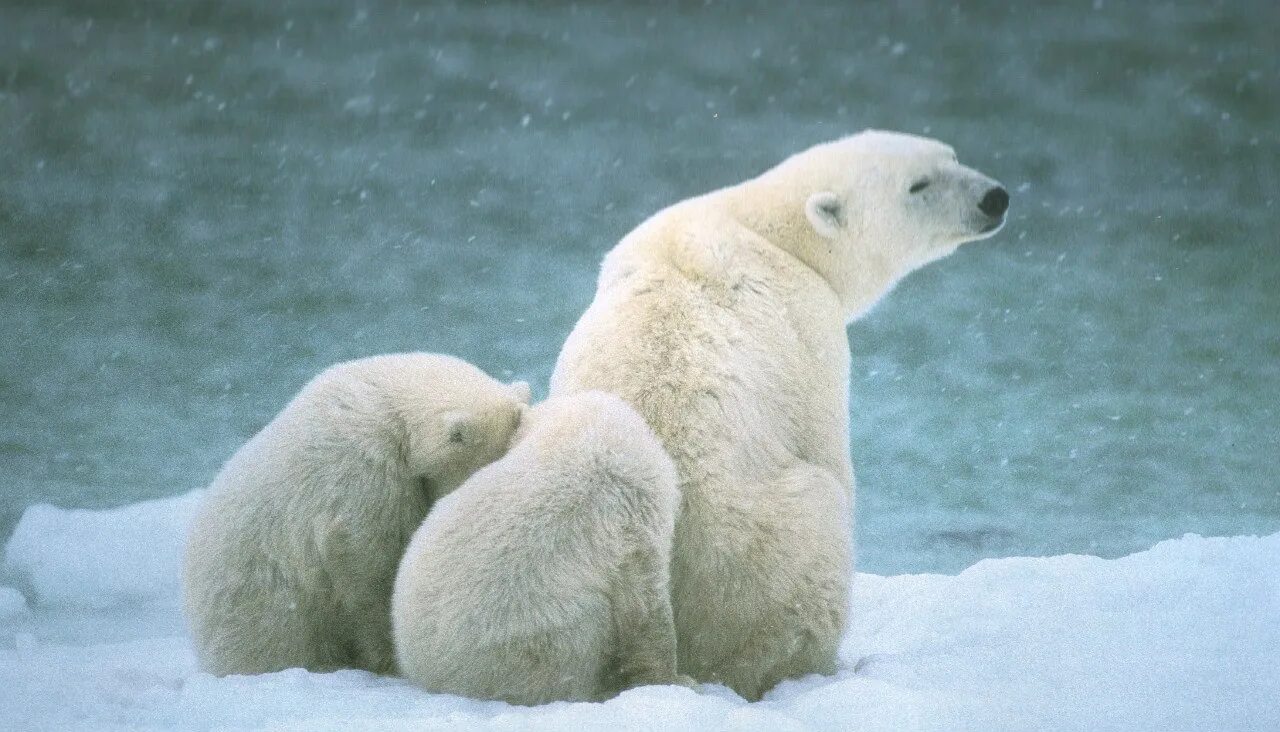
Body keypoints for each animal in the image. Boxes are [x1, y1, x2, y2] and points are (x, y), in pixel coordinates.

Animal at [181, 353, 529, 675]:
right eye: (484, 470)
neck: (390, 403)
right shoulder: (363, 473)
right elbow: (370, 567)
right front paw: (389, 655)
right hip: (259, 612)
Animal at [550, 129, 1008, 696]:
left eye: (951, 157)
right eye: (918, 185)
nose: (995, 198)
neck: (767, 229)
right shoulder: (810, 324)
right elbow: (826, 443)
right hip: (763, 551)